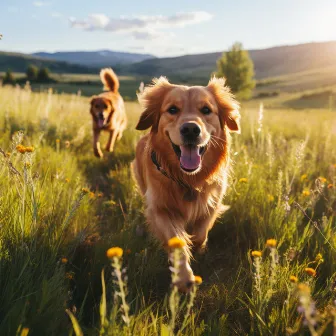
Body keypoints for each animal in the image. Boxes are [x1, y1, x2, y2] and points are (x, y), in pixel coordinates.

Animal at [131, 77, 239, 292]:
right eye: (172, 109)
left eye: (206, 110)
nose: (190, 129)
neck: (188, 180)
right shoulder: (159, 209)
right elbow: (177, 240)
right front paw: (183, 277)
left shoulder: (212, 204)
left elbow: (200, 234)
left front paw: (197, 248)